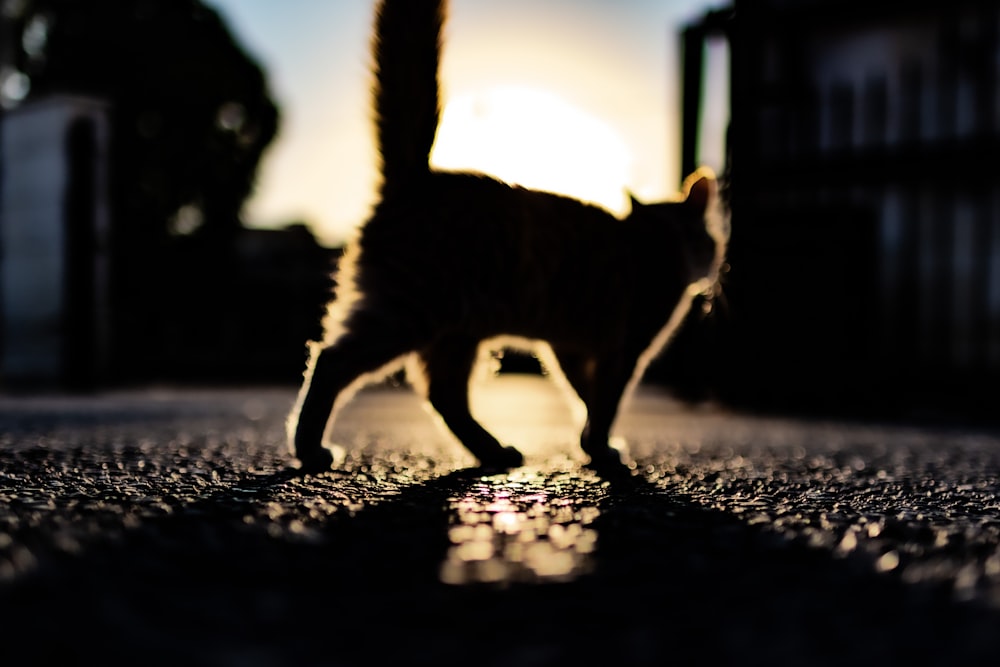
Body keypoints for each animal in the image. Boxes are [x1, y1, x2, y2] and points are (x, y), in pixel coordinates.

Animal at [286, 0, 732, 474]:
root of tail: (417, 177)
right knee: (331, 361)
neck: (655, 242)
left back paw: (494, 451)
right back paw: (310, 448)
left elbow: (585, 396)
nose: (711, 274)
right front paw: (601, 447)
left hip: (456, 334)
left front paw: (591, 442)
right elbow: (606, 400)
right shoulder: (623, 348)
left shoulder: (567, 346)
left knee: (443, 397)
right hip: (406, 314)